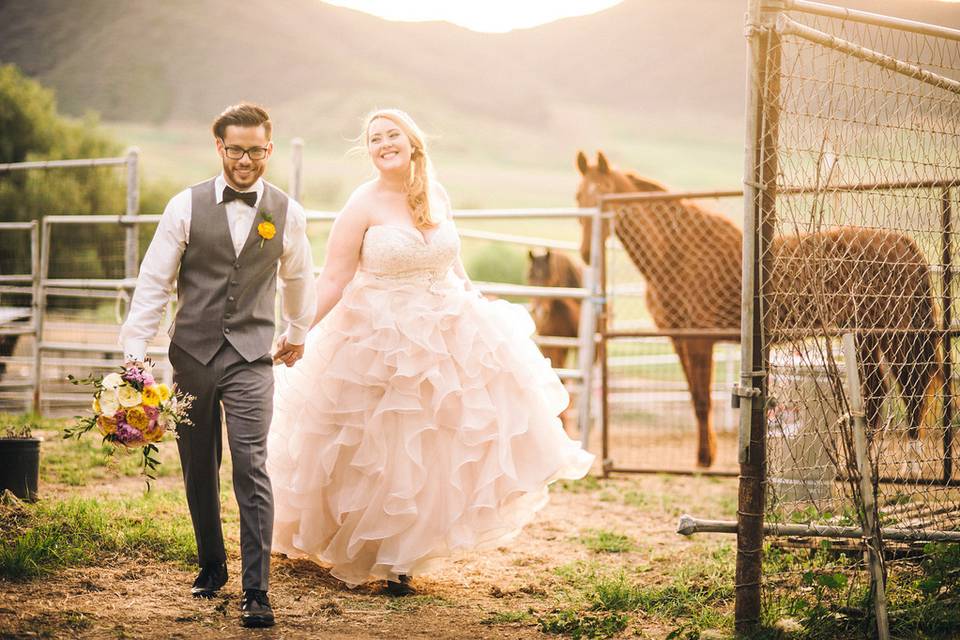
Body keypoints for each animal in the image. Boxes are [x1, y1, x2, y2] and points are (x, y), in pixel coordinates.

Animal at [572, 152, 940, 468]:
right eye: (578, 199)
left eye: (602, 194)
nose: (587, 254)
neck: (678, 253)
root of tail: (904, 244)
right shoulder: (679, 339)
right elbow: (694, 398)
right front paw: (703, 458)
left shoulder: (699, 340)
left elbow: (703, 400)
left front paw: (705, 462)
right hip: (865, 337)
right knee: (878, 393)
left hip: (893, 335)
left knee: (911, 388)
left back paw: (908, 461)